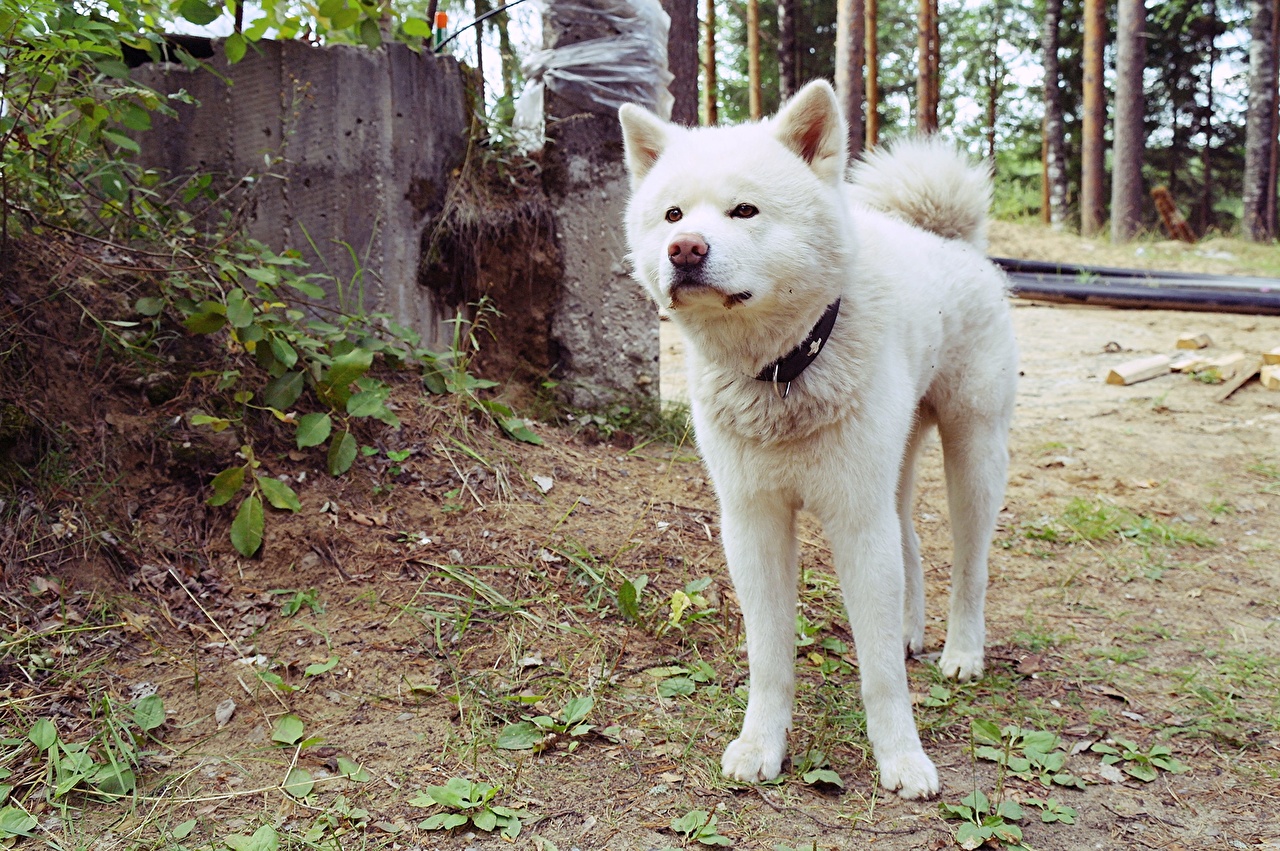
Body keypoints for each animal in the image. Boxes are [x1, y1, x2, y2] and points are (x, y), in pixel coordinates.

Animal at [619, 79, 1018, 798]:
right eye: (671, 214)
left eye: (744, 209)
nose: (685, 248)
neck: (784, 370)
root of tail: (945, 237)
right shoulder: (754, 522)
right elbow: (769, 655)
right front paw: (760, 745)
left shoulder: (855, 521)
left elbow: (880, 670)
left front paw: (901, 757)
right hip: (893, 470)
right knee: (913, 545)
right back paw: (916, 630)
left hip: (973, 455)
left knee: (970, 566)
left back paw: (962, 651)